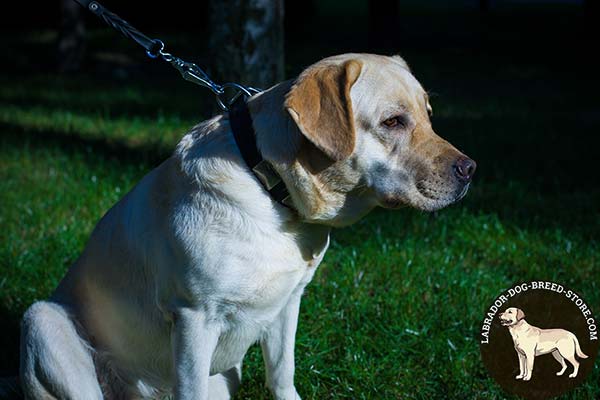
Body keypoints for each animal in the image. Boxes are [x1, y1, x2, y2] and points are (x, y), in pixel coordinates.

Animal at [19, 54, 474, 400]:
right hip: (42, 322)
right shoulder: (194, 318)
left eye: (428, 116)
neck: (271, 190)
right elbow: (191, 390)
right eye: (393, 121)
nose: (470, 170)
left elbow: (282, 374)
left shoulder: (289, 302)